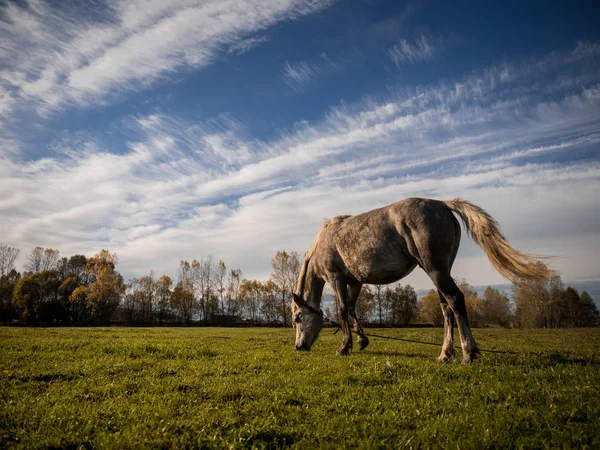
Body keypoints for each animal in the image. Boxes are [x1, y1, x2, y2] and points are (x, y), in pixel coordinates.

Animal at [290, 199, 552, 364]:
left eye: (297, 319)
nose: (298, 347)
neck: (324, 240)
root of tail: (443, 204)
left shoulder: (337, 278)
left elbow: (343, 310)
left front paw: (344, 347)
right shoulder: (355, 281)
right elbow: (353, 309)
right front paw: (362, 340)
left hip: (435, 270)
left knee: (455, 300)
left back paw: (468, 353)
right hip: (439, 272)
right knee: (446, 308)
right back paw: (445, 354)